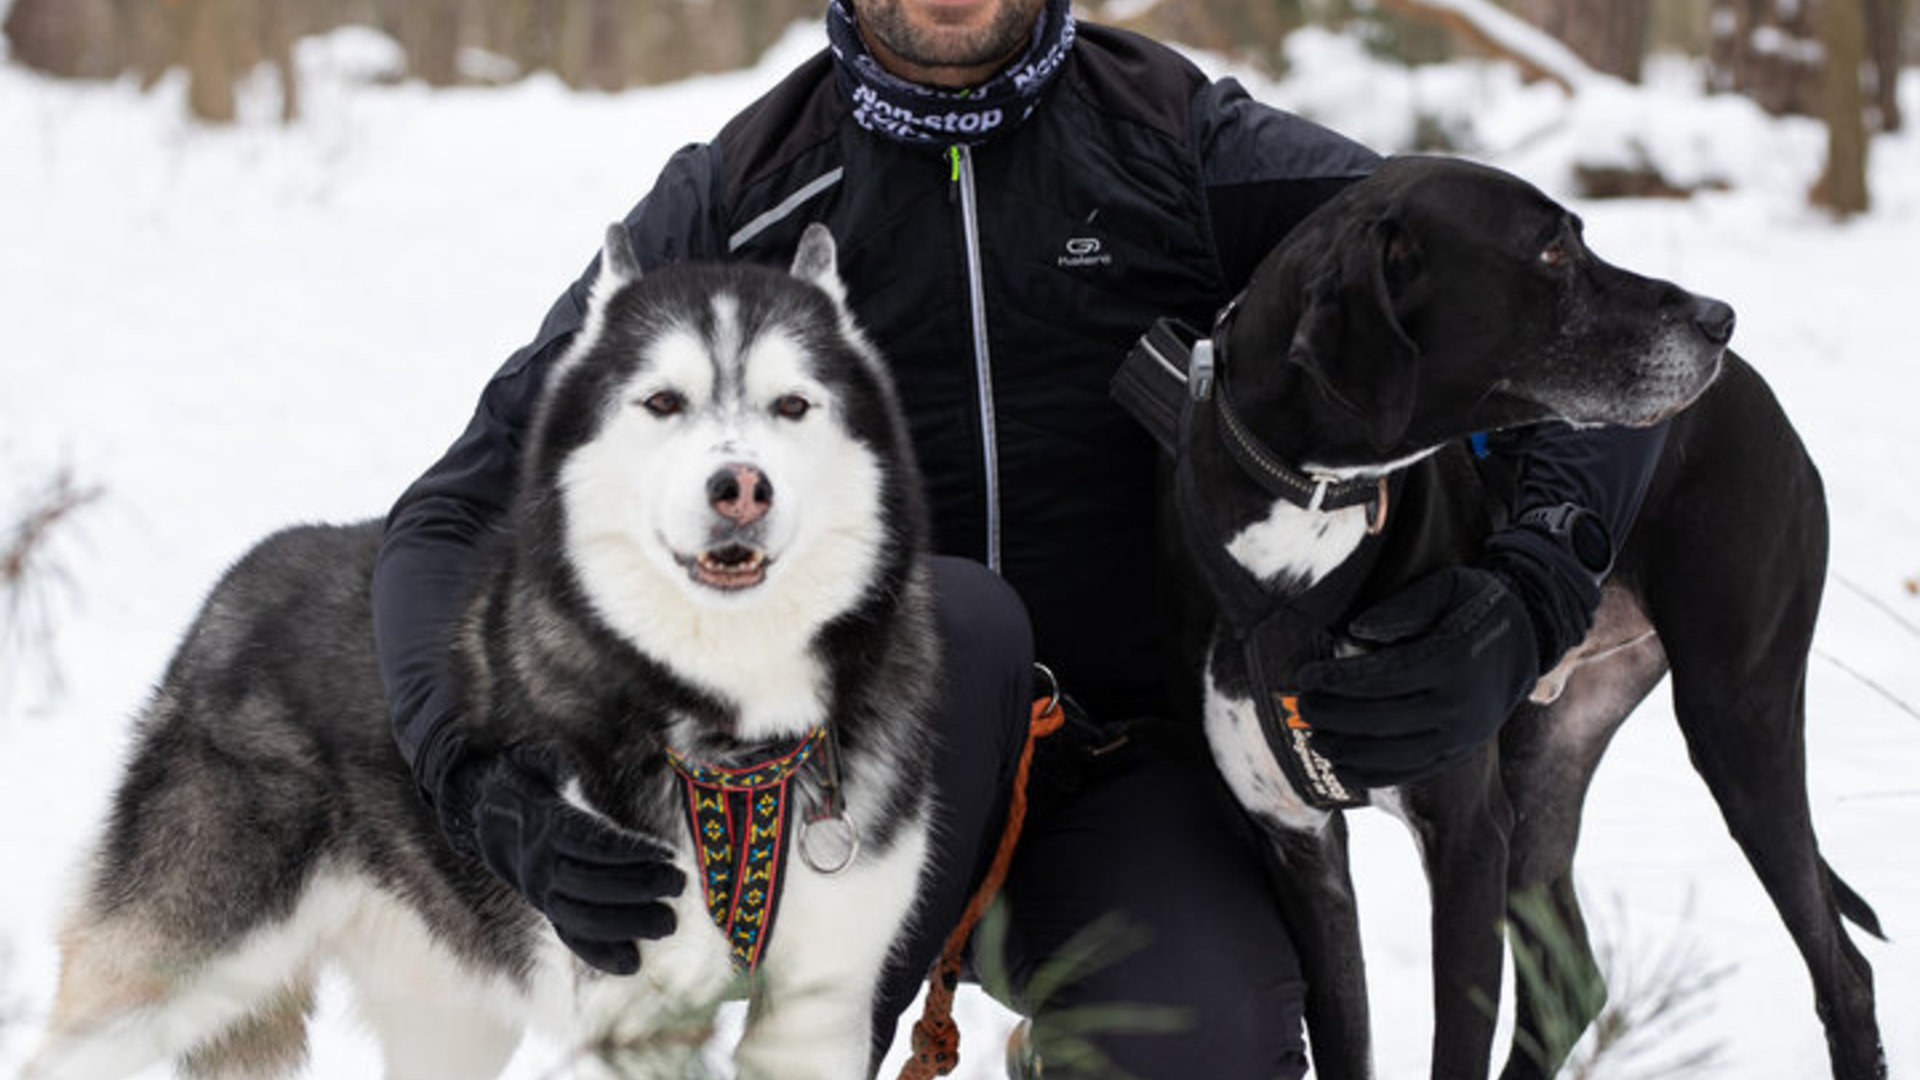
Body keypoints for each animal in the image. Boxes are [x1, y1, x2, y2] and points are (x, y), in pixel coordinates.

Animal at [1121, 155, 1881, 1076]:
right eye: (1552, 252)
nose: (1719, 319)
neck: (1309, 503)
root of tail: (1758, 394)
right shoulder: (1301, 849)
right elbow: (1348, 1034)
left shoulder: (1466, 837)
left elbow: (1458, 1043)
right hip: (1545, 761)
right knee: (1569, 978)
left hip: (1738, 723)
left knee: (1841, 969)